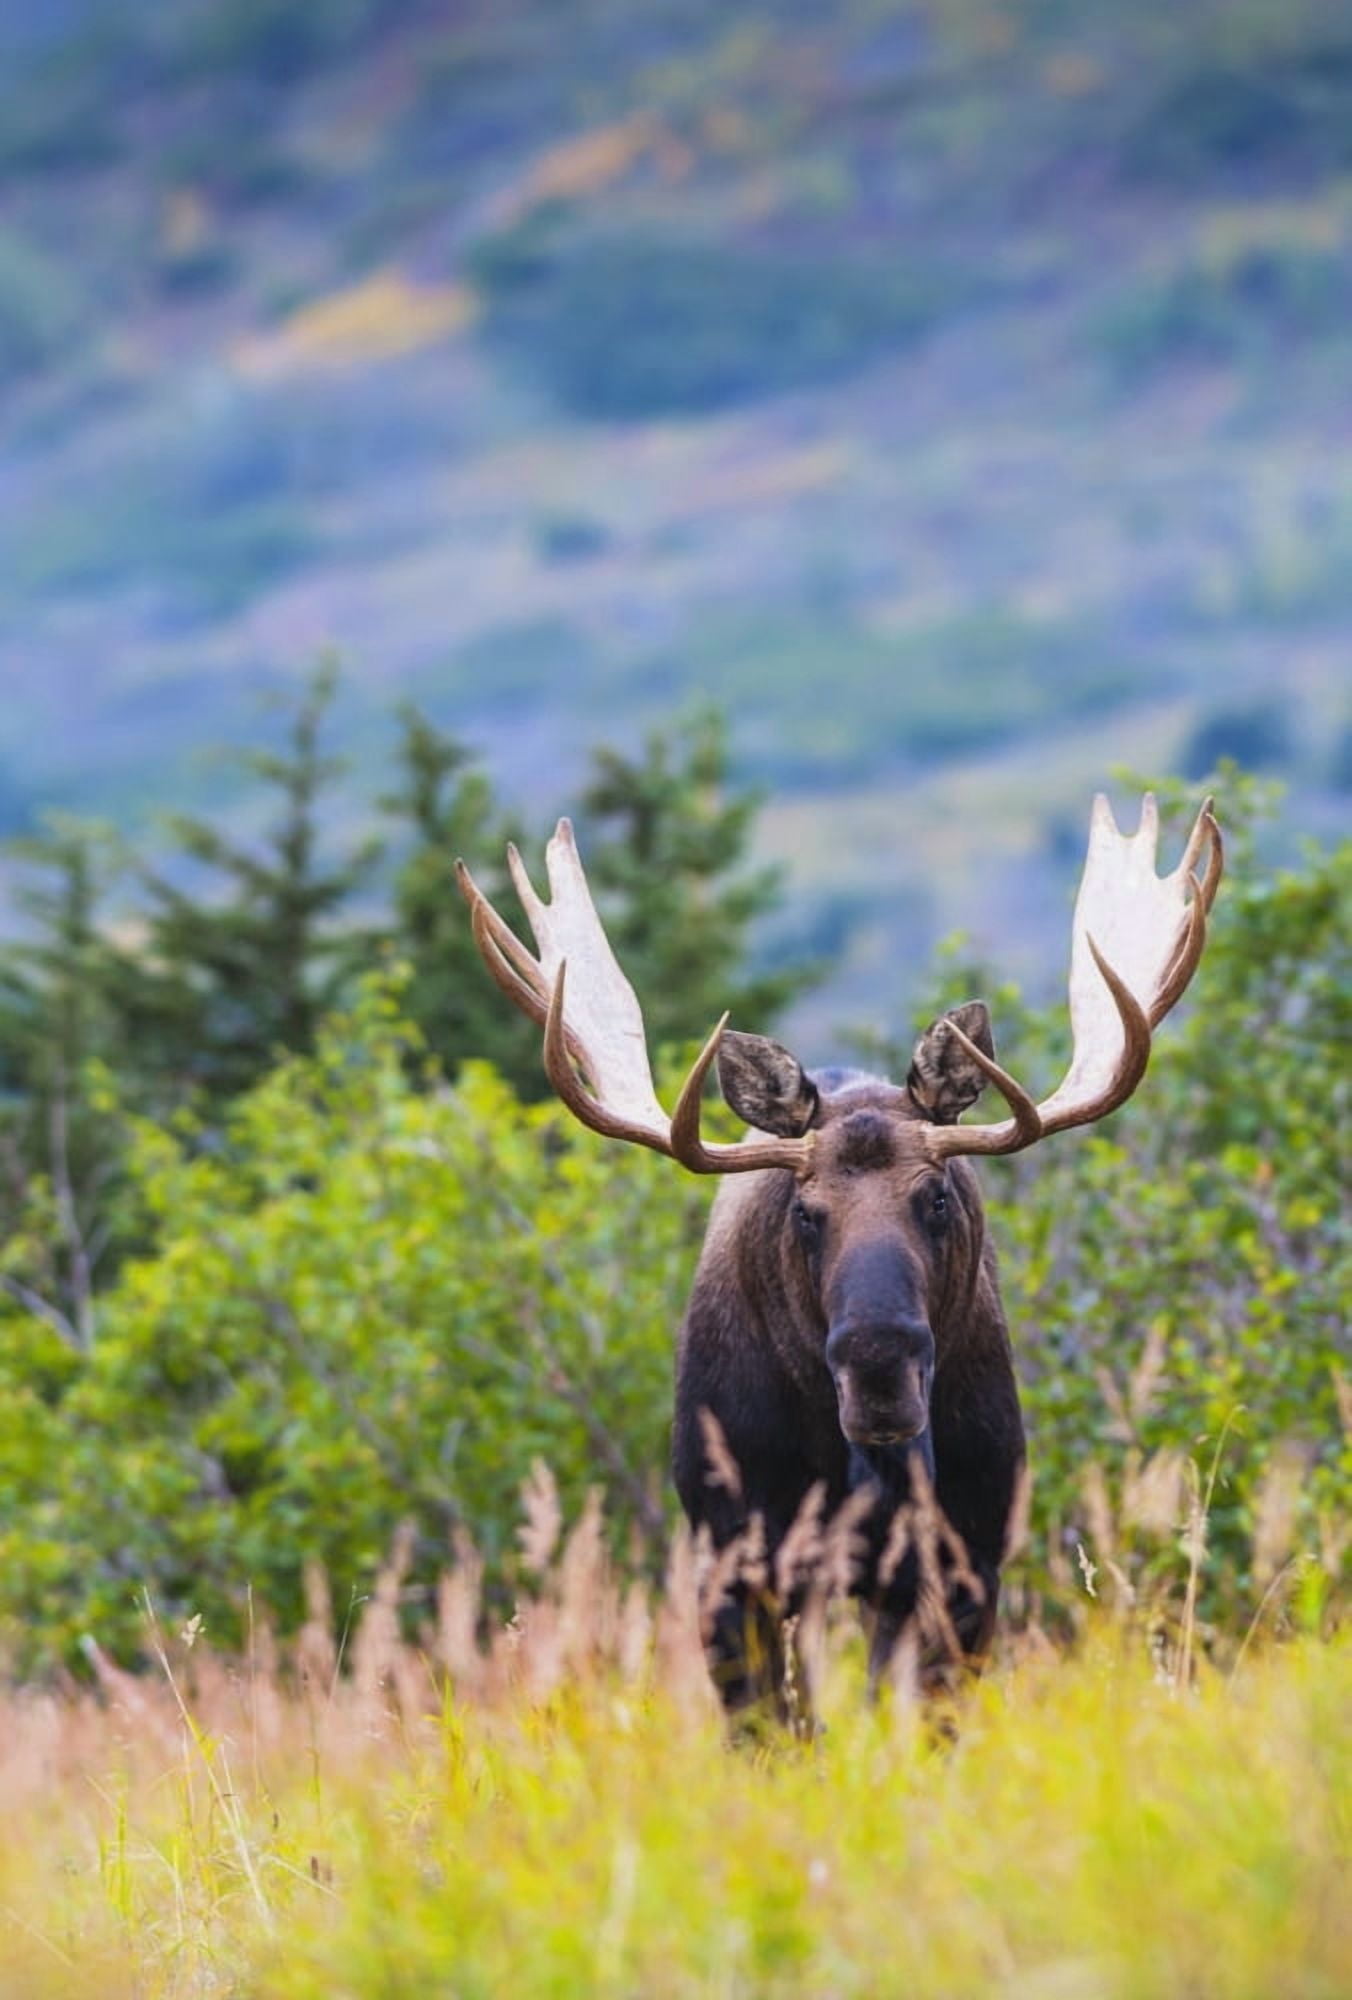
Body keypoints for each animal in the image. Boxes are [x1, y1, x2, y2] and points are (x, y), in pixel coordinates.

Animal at [457, 793, 1222, 1721]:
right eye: (805, 1213)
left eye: (937, 1196)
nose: (879, 1366)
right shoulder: (735, 1560)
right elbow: (772, 1731)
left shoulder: (966, 1556)